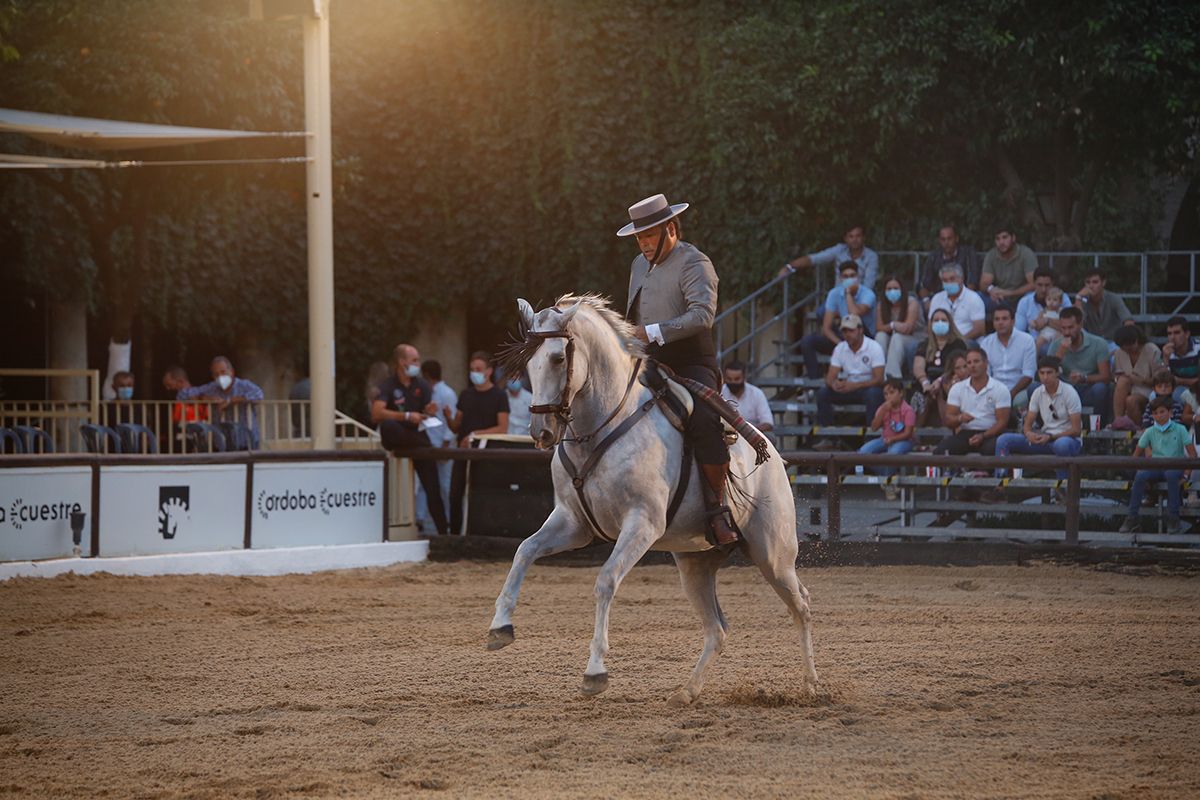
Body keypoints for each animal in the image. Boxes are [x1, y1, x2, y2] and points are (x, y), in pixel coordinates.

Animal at [484, 293, 816, 705]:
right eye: (529, 363)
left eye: (559, 358)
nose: (540, 432)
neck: (603, 425)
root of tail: (773, 456)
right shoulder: (573, 524)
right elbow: (524, 550)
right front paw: (500, 626)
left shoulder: (642, 523)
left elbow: (606, 580)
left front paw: (595, 671)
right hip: (695, 565)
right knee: (717, 628)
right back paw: (686, 692)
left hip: (773, 555)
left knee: (801, 606)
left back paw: (811, 685)